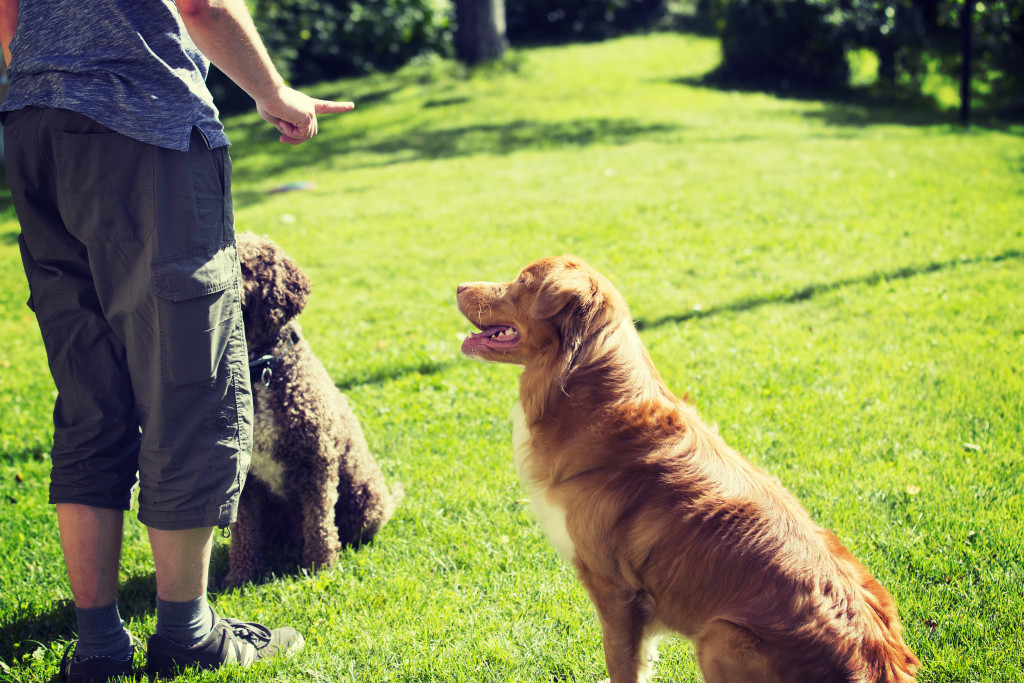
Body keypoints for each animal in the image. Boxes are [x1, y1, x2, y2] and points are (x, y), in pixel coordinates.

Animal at [226, 232, 401, 585]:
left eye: (246, 267)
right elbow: (244, 533)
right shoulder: (247, 480)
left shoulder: (316, 461)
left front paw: (321, 568)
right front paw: (239, 576)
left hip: (364, 495)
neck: (263, 368)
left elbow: (320, 522)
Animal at [456, 255, 921, 683]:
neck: (588, 396)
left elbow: (621, 666)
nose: (458, 285)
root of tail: (880, 665)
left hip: (721, 636)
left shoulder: (616, 591)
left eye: (521, 282)